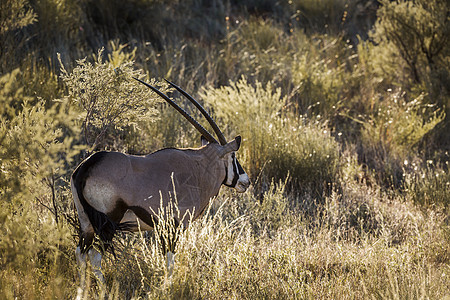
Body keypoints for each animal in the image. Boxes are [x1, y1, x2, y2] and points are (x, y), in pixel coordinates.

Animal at [72, 77, 251, 282]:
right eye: (233, 157)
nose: (245, 181)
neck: (199, 168)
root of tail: (86, 168)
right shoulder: (173, 226)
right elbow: (170, 261)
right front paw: (168, 285)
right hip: (108, 224)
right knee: (94, 256)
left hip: (86, 224)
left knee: (81, 253)